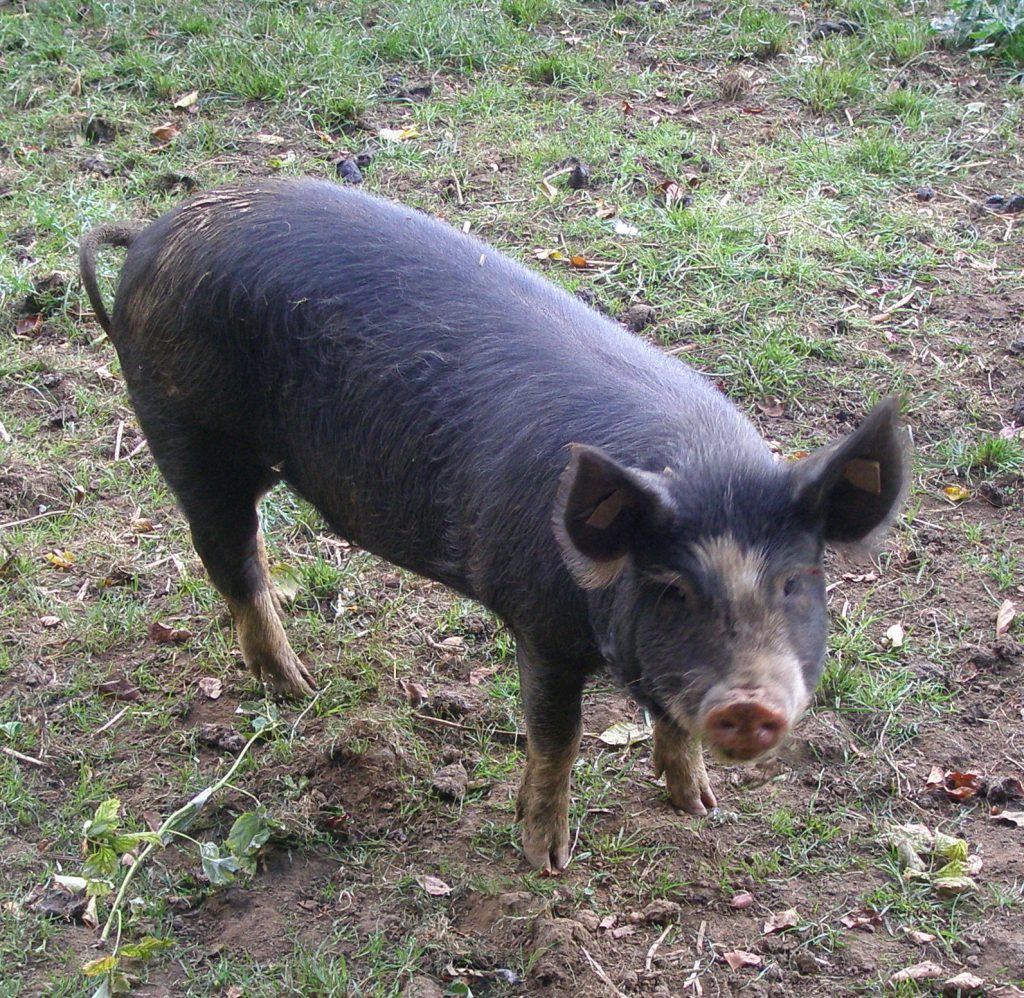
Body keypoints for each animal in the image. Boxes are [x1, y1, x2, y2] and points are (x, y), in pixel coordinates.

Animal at [81, 181, 913, 876]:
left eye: (795, 582)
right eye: (673, 589)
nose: (749, 701)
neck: (700, 465)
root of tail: (153, 233)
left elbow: (668, 717)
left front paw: (700, 809)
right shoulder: (539, 621)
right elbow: (557, 739)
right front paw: (547, 862)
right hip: (183, 431)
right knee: (229, 557)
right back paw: (297, 685)